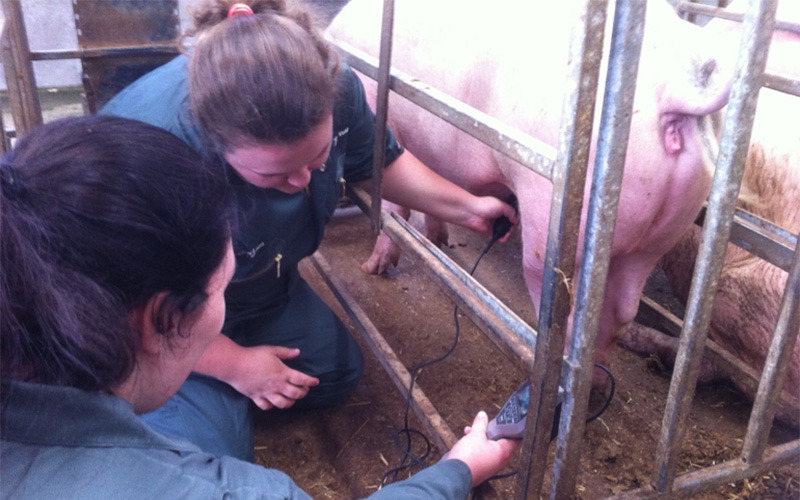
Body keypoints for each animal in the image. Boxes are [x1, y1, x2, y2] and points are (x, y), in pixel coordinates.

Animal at [324, 0, 732, 384]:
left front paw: (372, 268)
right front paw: (436, 241)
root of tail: (676, 85)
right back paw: (598, 384)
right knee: (620, 311)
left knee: (562, 310)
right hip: (660, 237)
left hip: (553, 222)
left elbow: (395, 206)